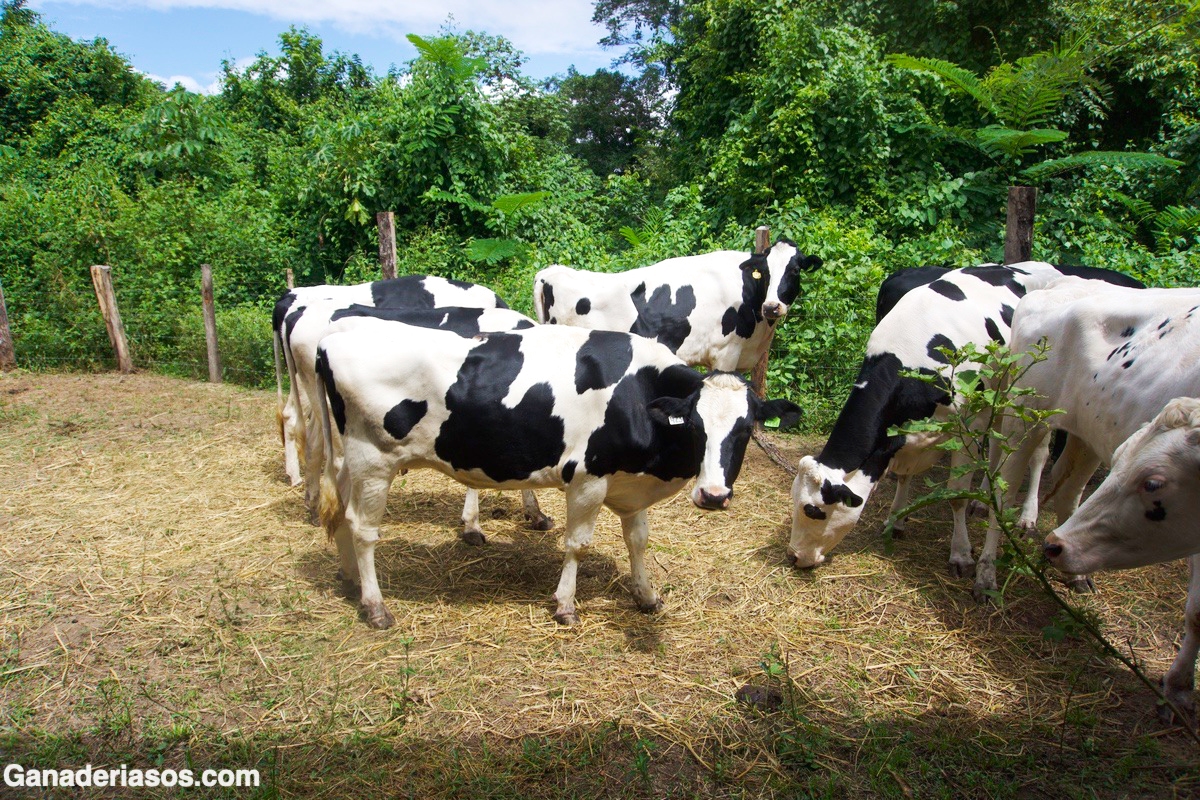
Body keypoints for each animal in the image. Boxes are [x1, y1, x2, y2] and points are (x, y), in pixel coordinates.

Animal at [312, 321, 796, 628]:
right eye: (695, 425)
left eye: (746, 429)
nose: (714, 495)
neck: (637, 395)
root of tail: (331, 340)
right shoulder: (588, 480)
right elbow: (577, 545)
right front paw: (565, 606)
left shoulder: (628, 482)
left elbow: (638, 540)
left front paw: (646, 596)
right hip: (373, 460)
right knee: (364, 529)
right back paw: (375, 606)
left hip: (351, 461)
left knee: (342, 514)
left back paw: (350, 579)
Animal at [787, 262, 1142, 594]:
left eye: (814, 510)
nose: (793, 556)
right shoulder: (905, 436)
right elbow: (904, 475)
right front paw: (896, 519)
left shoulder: (967, 426)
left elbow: (956, 495)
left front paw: (960, 554)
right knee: (997, 450)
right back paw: (984, 500)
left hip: (1030, 406)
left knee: (1036, 455)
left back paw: (1026, 515)